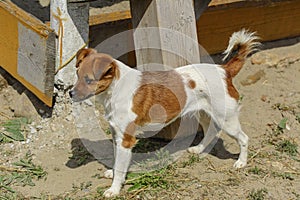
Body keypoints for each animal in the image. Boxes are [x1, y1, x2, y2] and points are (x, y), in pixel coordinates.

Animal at [69, 29, 260, 197]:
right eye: (77, 75)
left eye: (88, 80)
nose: (70, 93)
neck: (115, 90)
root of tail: (224, 70)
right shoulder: (117, 135)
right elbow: (117, 160)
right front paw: (113, 172)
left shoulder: (126, 140)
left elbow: (121, 167)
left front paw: (114, 189)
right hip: (204, 113)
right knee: (211, 130)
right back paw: (199, 149)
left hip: (227, 120)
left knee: (243, 138)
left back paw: (241, 162)